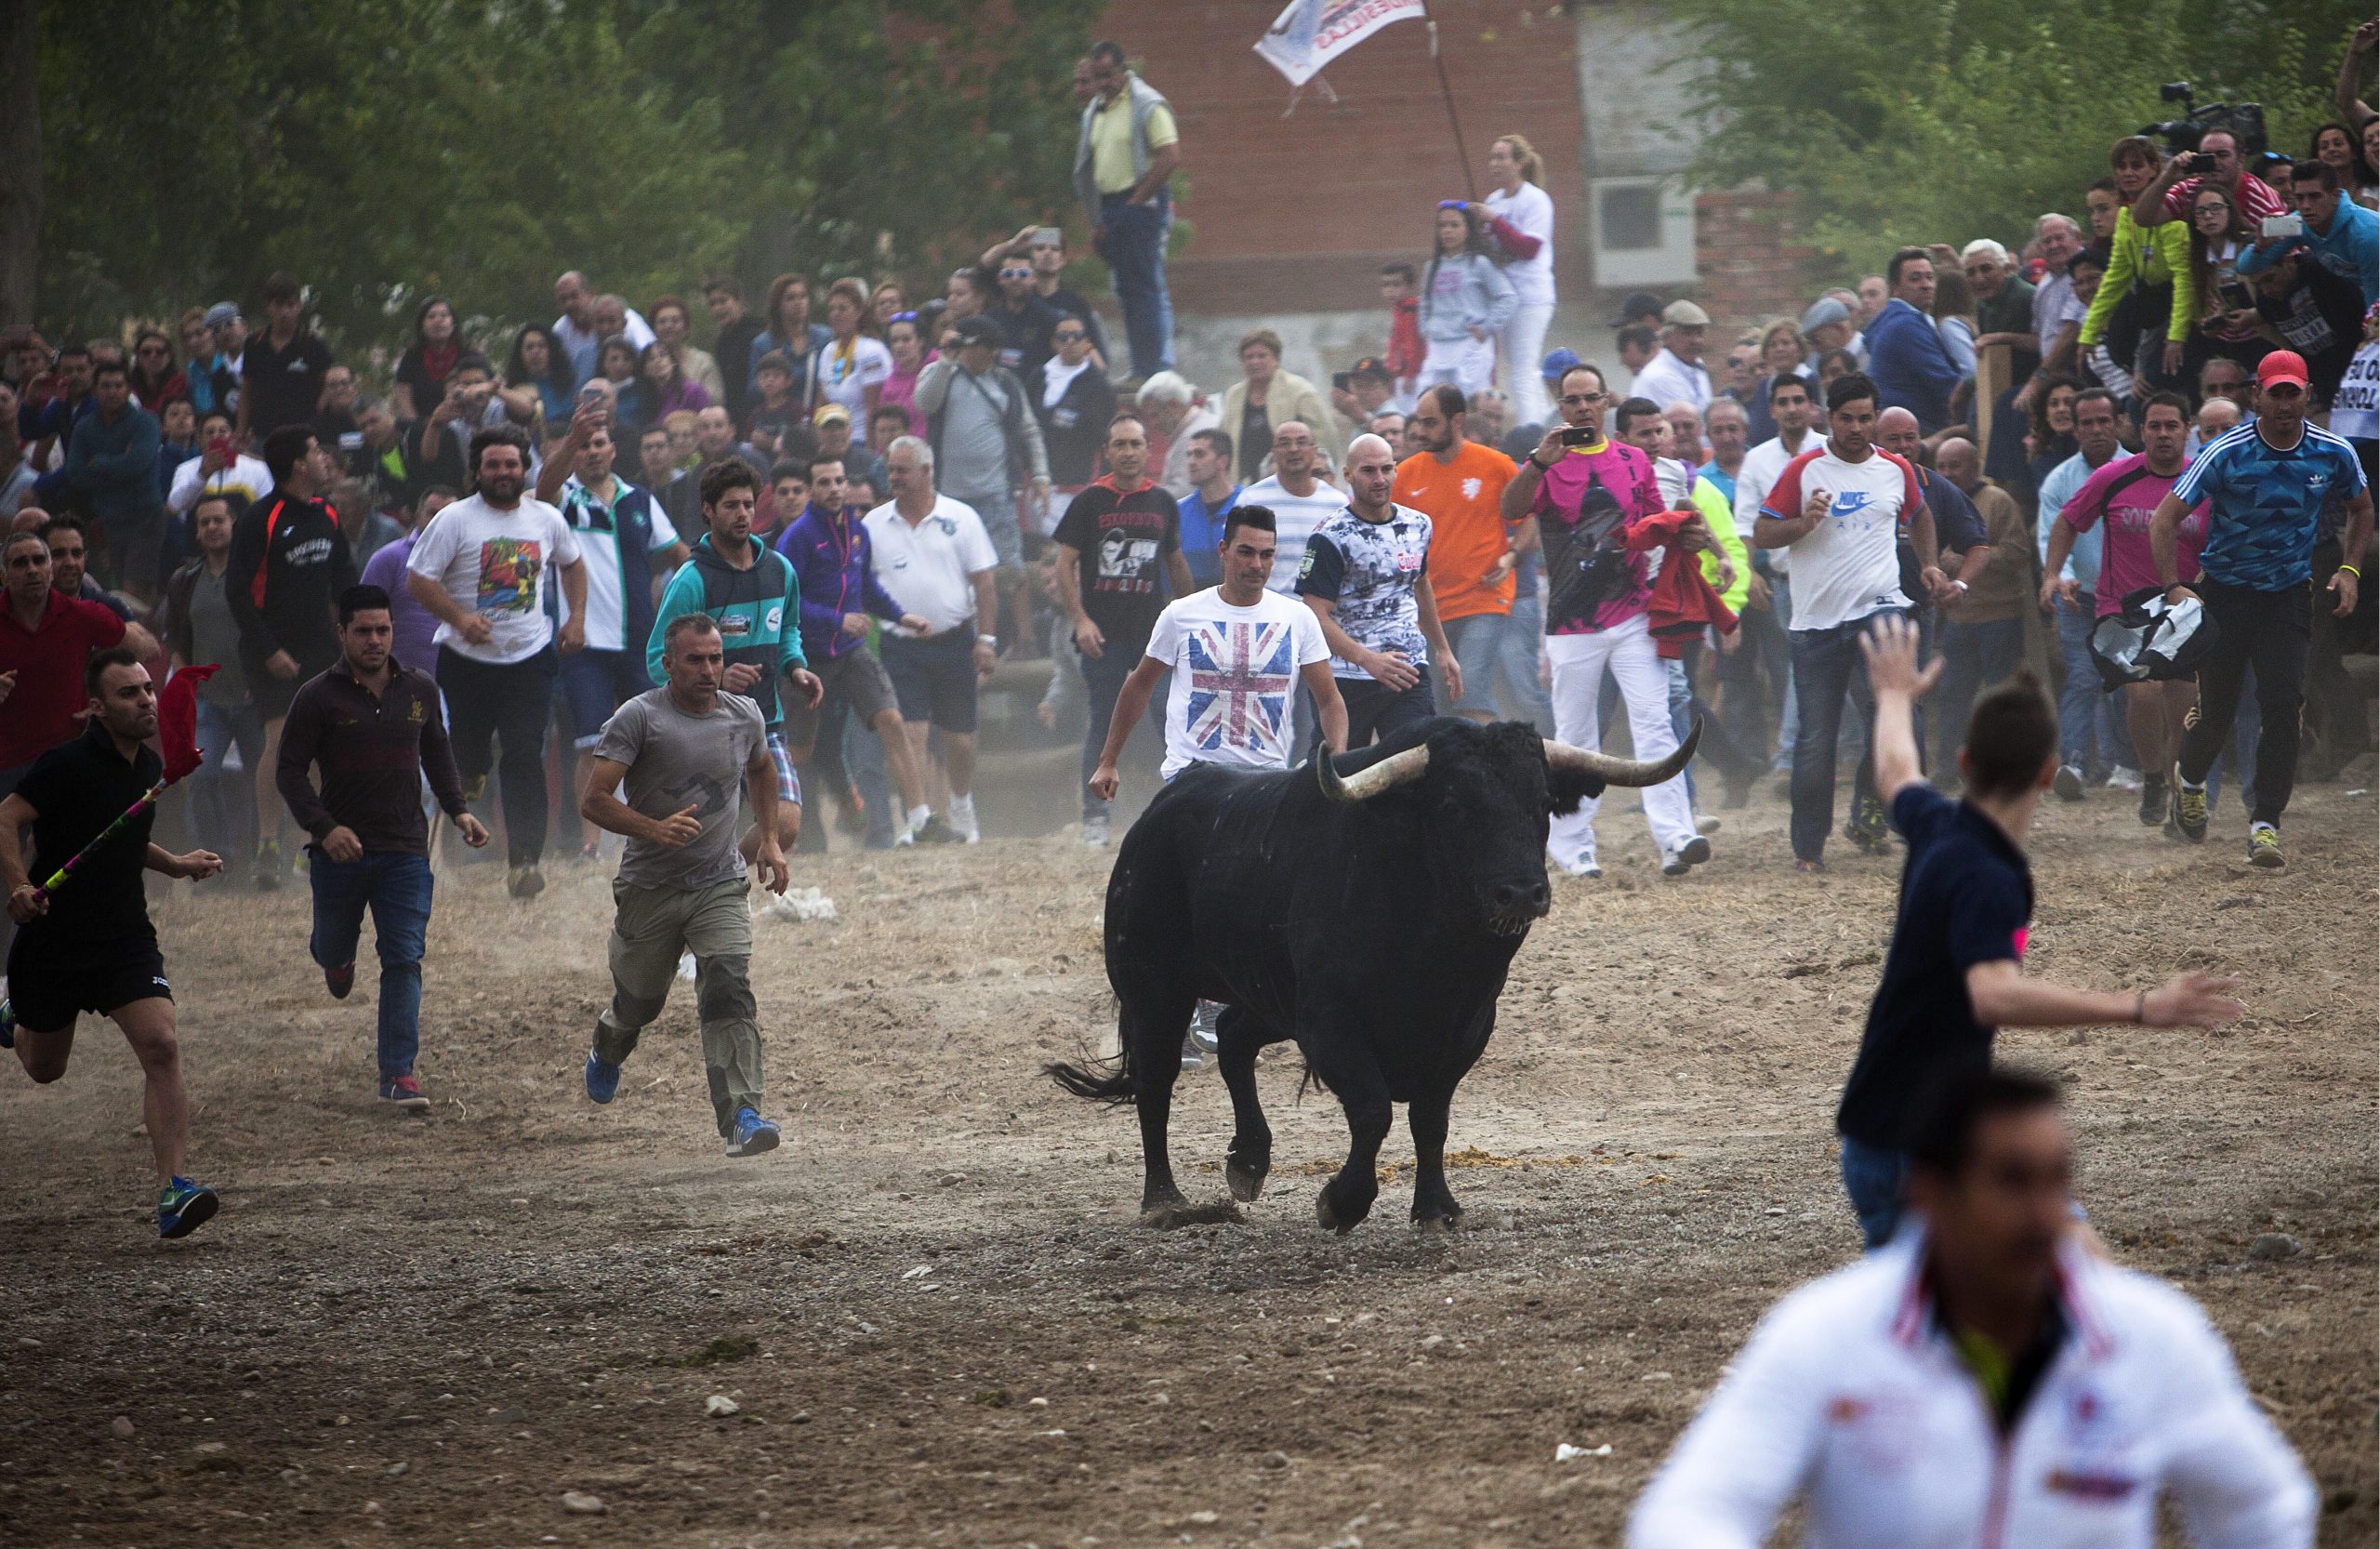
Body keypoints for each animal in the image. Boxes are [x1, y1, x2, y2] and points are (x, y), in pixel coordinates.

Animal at [1056, 713, 1694, 1237]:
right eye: (1453, 805)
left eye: (1541, 802)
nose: (1522, 892)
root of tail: (1158, 812)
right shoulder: (1332, 1023)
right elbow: (1373, 1110)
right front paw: (1342, 1202)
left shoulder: (1465, 1029)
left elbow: (1430, 1120)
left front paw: (1436, 1207)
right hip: (1153, 991)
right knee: (1155, 1081)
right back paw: (1164, 1200)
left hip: (1269, 997)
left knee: (1234, 1037)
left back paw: (1250, 1161)